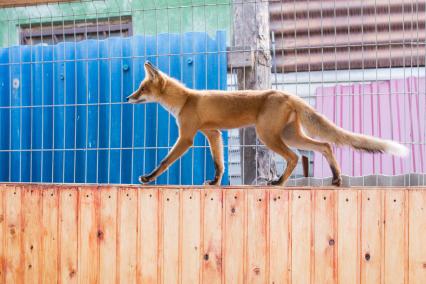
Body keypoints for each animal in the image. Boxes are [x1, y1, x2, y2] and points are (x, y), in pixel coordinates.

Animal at [127, 61, 410, 186]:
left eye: (141, 88)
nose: (128, 98)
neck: (186, 100)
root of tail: (287, 94)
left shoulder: (186, 137)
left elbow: (165, 161)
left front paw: (148, 178)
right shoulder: (213, 133)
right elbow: (219, 163)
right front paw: (215, 183)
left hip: (268, 136)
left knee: (295, 157)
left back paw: (280, 183)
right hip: (290, 135)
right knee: (325, 145)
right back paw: (336, 178)